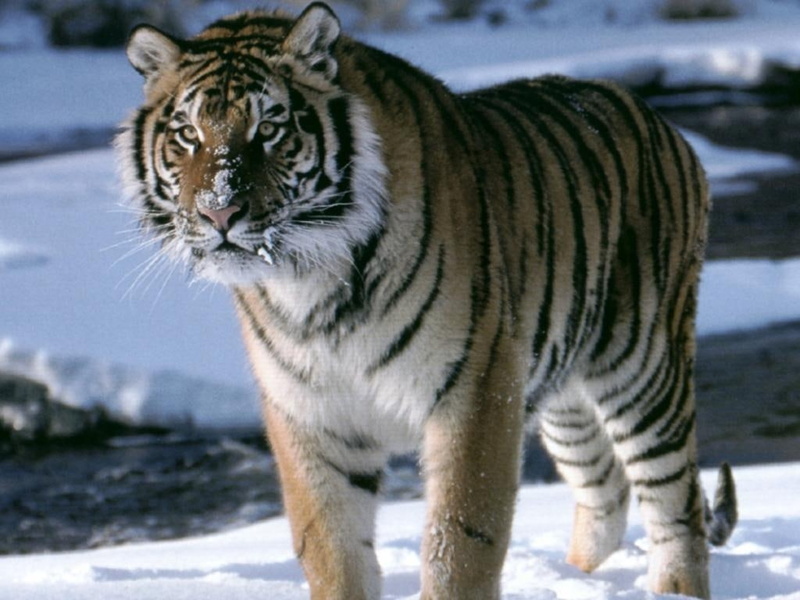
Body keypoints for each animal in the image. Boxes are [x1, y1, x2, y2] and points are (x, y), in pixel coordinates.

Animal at [116, 3, 738, 599]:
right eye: (187, 134)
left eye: (268, 128)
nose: (218, 212)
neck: (310, 280)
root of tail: (660, 120)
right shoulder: (311, 413)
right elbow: (331, 548)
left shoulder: (475, 390)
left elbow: (458, 540)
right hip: (563, 394)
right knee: (605, 489)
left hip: (642, 366)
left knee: (675, 507)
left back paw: (674, 590)